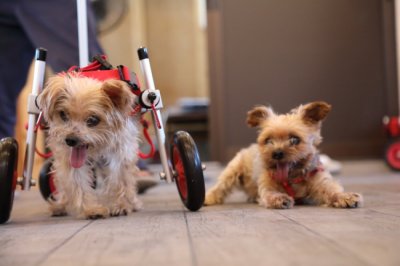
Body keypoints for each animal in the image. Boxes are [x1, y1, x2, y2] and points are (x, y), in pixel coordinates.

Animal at [37, 73, 141, 218]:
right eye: (63, 115)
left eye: (93, 120)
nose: (70, 140)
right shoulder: (69, 158)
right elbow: (77, 182)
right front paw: (91, 209)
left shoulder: (121, 153)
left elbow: (119, 179)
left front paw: (120, 205)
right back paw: (60, 205)